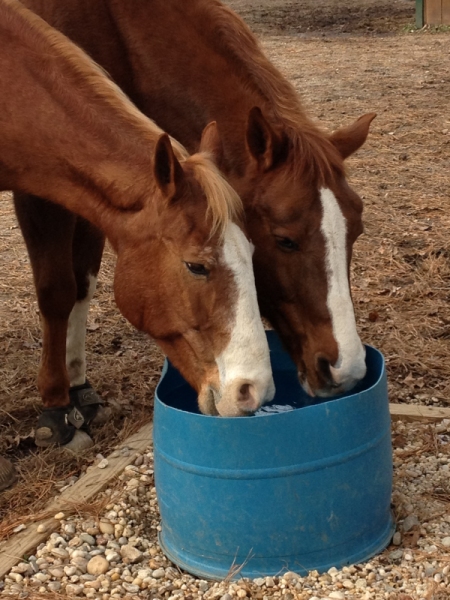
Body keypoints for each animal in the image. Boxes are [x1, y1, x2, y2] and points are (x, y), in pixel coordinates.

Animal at [0, 0, 274, 450]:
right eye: (196, 266)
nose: (253, 390)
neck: (13, 93)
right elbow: (56, 292)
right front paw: (57, 411)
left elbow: (80, 284)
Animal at [19, 0, 374, 426]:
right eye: (284, 240)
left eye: (355, 230)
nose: (346, 370)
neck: (107, 17)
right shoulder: (44, 184)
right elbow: (57, 290)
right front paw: (57, 406)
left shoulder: (97, 190)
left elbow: (82, 284)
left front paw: (79, 387)